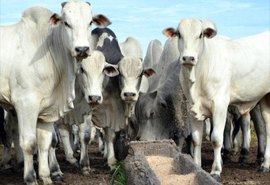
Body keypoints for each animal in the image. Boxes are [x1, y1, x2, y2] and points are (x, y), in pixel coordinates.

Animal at [0, 1, 110, 185]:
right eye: (66, 23)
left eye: (90, 22)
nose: (82, 49)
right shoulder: (26, 103)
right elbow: (30, 143)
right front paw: (32, 177)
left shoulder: (47, 110)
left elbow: (45, 142)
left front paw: (46, 176)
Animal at [162, 19, 270, 181]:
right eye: (179, 34)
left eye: (200, 35)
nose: (188, 58)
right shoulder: (192, 108)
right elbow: (196, 139)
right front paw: (197, 166)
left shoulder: (220, 105)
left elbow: (216, 138)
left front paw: (216, 171)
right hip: (264, 98)